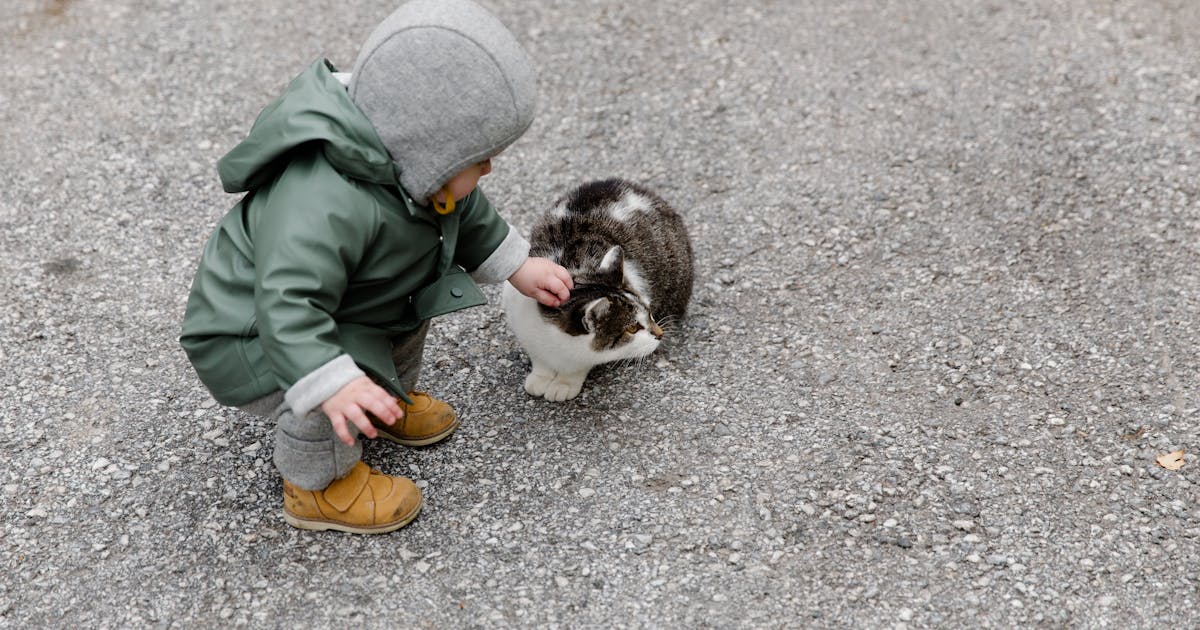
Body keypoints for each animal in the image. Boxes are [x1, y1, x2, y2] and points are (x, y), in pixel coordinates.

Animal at [504, 176, 696, 400]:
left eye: (649, 312)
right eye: (632, 328)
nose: (660, 333)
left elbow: (579, 365)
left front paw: (565, 383)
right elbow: (539, 358)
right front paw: (540, 377)